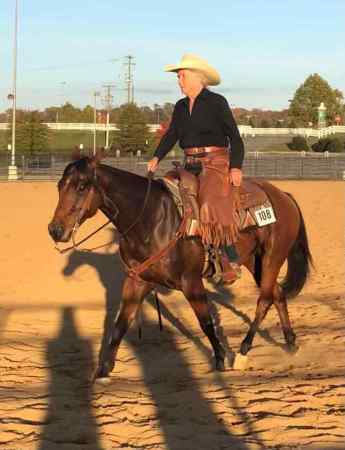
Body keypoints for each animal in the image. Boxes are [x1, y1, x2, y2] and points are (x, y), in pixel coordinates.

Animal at [48, 153, 312, 378]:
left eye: (82, 186)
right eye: (59, 186)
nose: (55, 230)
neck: (151, 219)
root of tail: (283, 196)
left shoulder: (191, 282)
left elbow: (205, 322)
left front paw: (219, 359)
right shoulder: (137, 281)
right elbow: (120, 324)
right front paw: (103, 369)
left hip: (272, 258)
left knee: (265, 300)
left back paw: (242, 352)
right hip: (254, 261)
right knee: (277, 294)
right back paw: (290, 343)